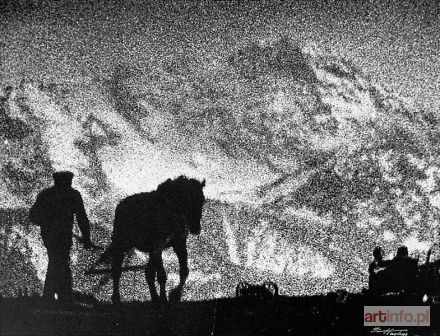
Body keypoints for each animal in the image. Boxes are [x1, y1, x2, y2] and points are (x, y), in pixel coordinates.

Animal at [99, 176, 206, 304]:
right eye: (186, 200)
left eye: (202, 200)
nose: (196, 228)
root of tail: (120, 205)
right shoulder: (157, 247)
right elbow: (162, 276)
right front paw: (164, 299)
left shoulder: (178, 243)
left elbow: (183, 271)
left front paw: (173, 296)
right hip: (121, 243)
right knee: (116, 268)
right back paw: (116, 297)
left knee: (148, 272)